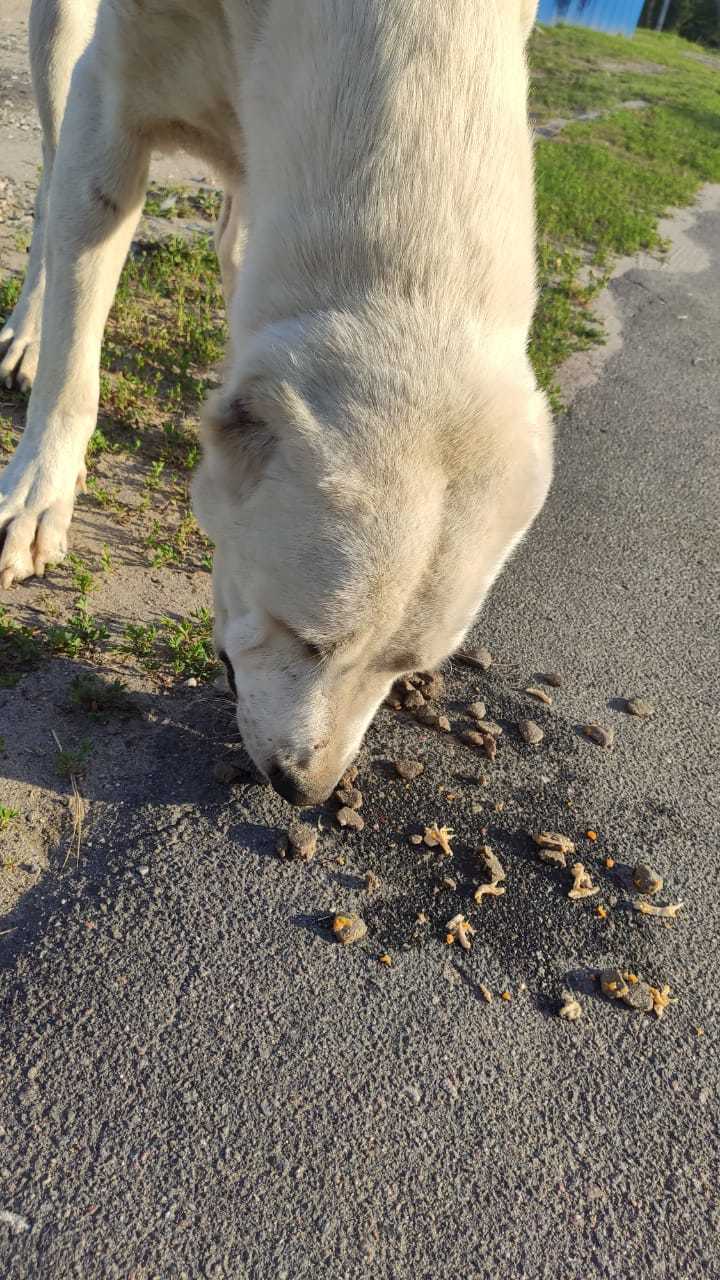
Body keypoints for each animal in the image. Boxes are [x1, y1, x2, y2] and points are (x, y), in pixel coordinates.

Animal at [0, 0, 550, 798]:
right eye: (310, 640)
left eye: (404, 668)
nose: (305, 791)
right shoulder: (106, 98)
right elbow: (75, 354)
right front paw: (38, 495)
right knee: (49, 192)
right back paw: (26, 337)